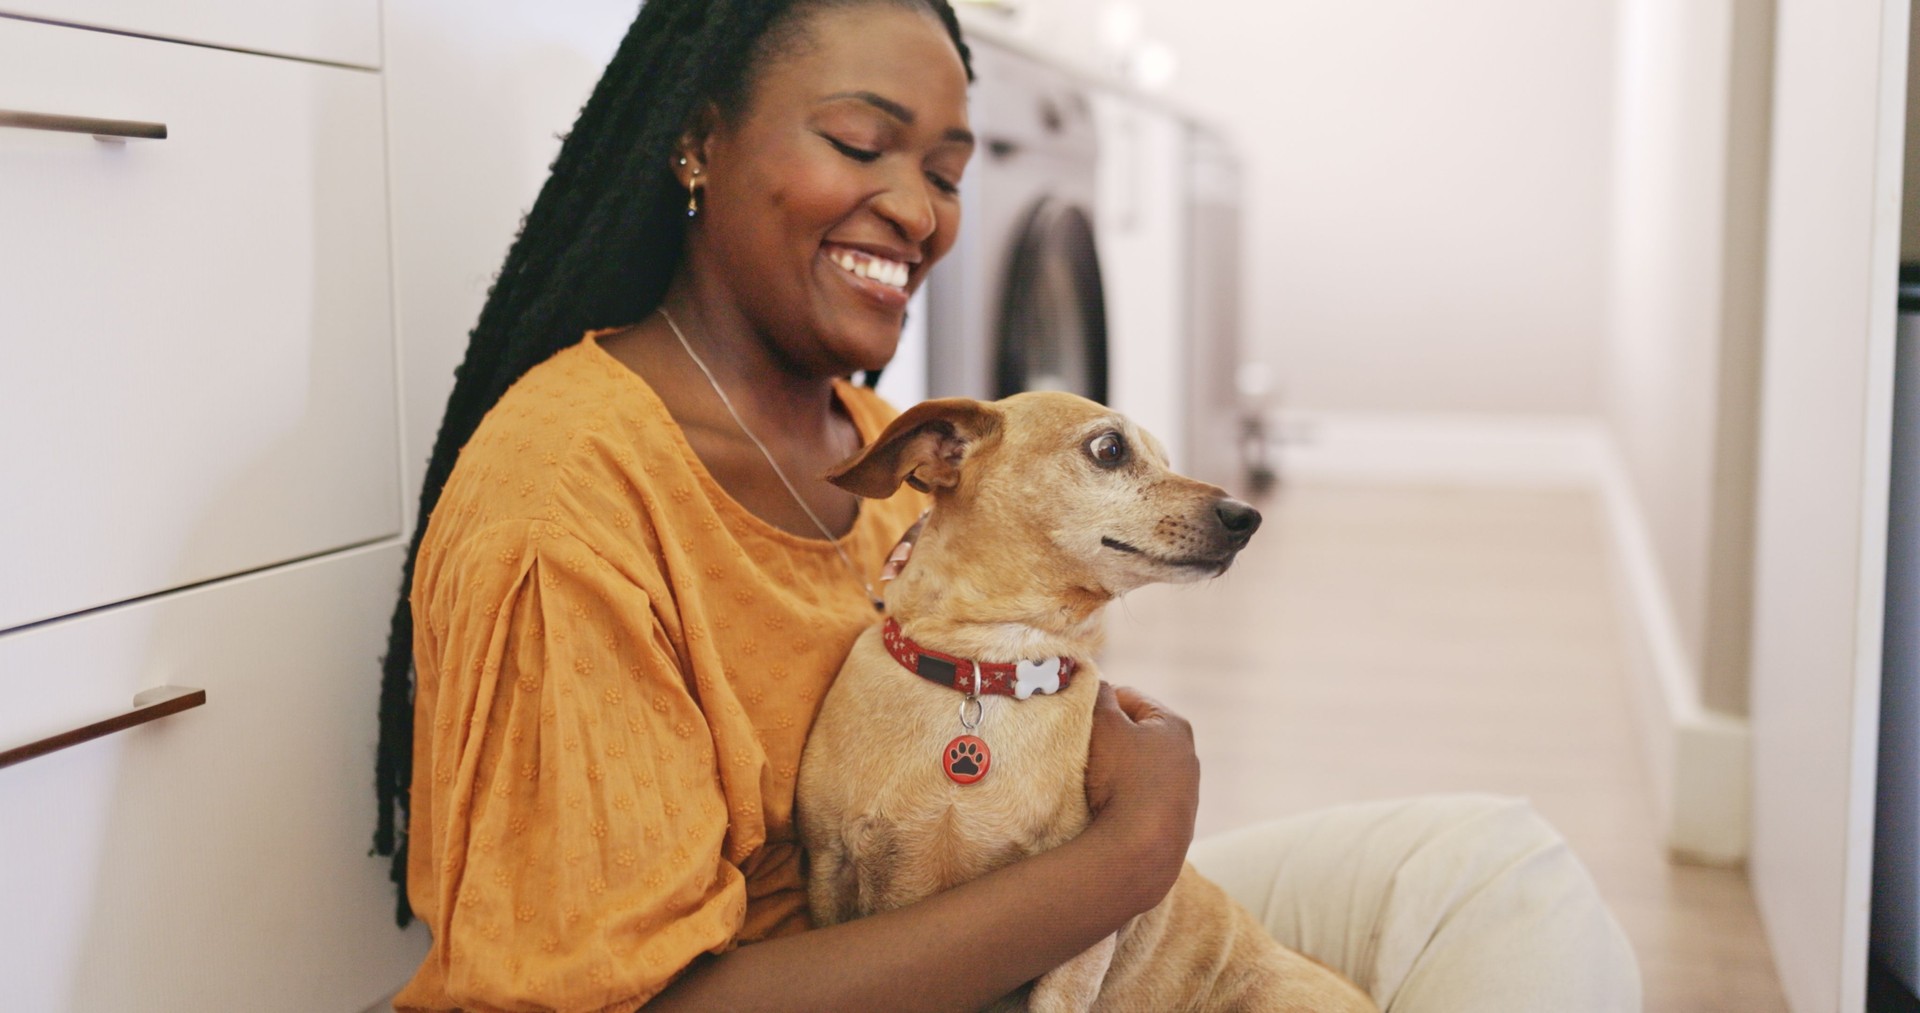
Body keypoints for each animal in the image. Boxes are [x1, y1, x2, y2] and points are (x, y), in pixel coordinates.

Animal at [794, 393, 1382, 1013]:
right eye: (1110, 449)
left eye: (1167, 459)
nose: (1247, 517)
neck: (987, 672)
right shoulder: (829, 870)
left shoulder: (1079, 930)